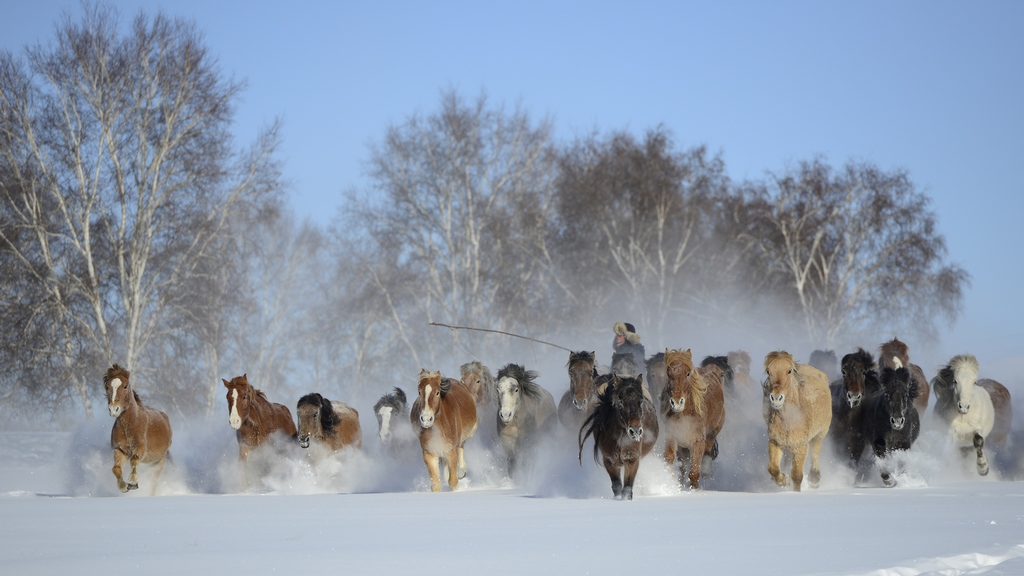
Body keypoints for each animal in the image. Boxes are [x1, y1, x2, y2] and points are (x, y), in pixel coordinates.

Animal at [102, 362, 171, 494]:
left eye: (125, 386)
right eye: (107, 387)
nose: (114, 409)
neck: (129, 425)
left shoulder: (140, 447)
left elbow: (134, 460)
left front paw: (133, 482)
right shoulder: (120, 450)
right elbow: (116, 468)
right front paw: (124, 487)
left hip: (159, 462)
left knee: (154, 481)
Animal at [659, 348, 724, 485]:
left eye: (688, 373)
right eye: (668, 373)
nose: (677, 402)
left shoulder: (698, 443)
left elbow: (694, 473)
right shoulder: (672, 437)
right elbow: (670, 460)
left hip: (711, 435)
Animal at [761, 350, 831, 487]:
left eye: (789, 371)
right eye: (768, 371)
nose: (776, 398)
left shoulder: (801, 446)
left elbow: (797, 476)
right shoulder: (775, 442)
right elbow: (773, 469)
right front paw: (783, 480)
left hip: (820, 434)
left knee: (815, 451)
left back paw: (814, 478)